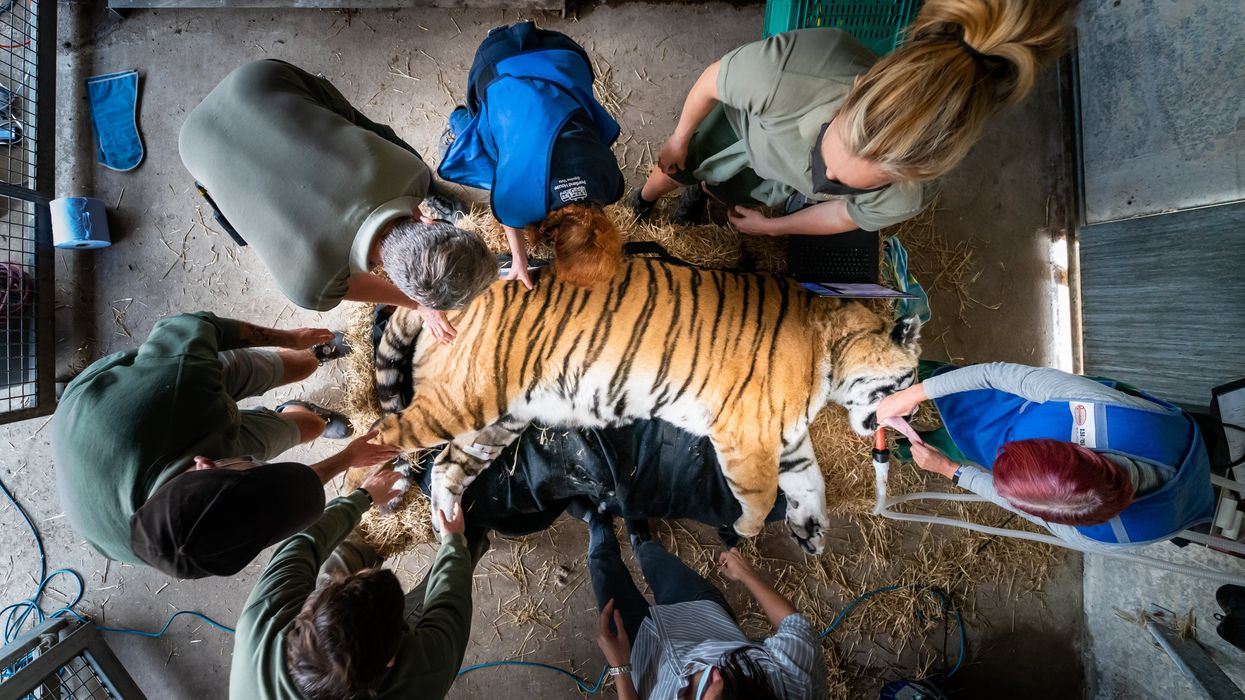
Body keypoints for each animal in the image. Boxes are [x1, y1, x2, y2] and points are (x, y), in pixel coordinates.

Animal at [373, 257, 921, 554]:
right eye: (913, 380)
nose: (914, 418)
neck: (830, 352)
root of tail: (457, 298)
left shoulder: (787, 439)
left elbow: (810, 483)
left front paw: (810, 533)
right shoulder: (747, 437)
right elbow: (763, 495)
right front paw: (745, 529)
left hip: (497, 421)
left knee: (446, 469)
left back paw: (449, 531)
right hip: (462, 401)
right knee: (382, 438)